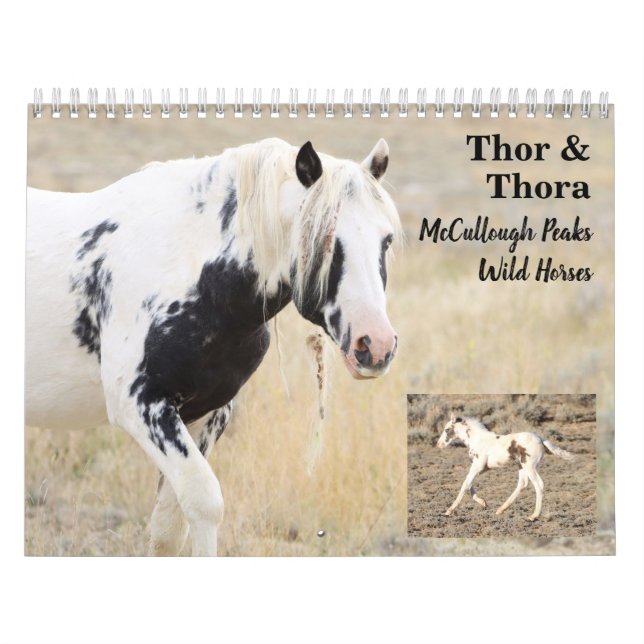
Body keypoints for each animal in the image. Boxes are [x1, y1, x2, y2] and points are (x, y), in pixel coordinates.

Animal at [26, 137, 402, 556]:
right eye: (324, 240)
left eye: (386, 240)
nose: (376, 344)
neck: (187, 268)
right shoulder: (138, 406)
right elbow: (204, 502)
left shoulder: (207, 411)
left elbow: (170, 526)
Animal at [436, 413, 575, 521]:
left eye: (447, 429)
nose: (439, 444)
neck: (477, 440)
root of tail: (541, 439)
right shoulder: (481, 468)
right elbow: (469, 484)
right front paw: (483, 503)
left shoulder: (477, 466)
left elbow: (465, 484)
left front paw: (449, 511)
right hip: (522, 466)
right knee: (522, 484)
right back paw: (501, 509)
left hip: (530, 466)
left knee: (538, 485)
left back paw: (533, 516)